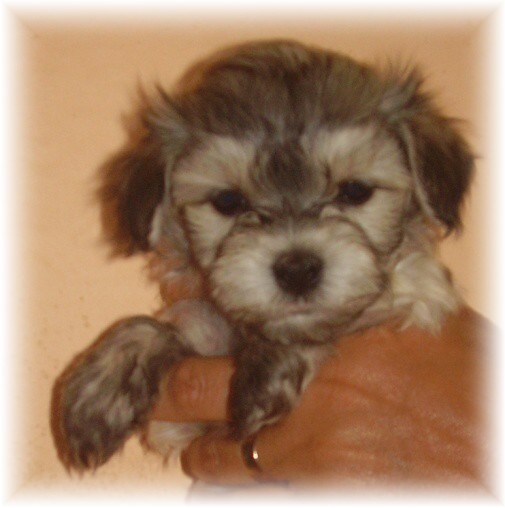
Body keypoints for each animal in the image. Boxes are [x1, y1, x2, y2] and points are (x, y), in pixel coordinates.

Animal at [51, 39, 474, 472]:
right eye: (228, 201)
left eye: (355, 191)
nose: (298, 270)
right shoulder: (189, 398)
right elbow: (160, 325)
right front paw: (100, 389)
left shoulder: (418, 293)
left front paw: (270, 365)